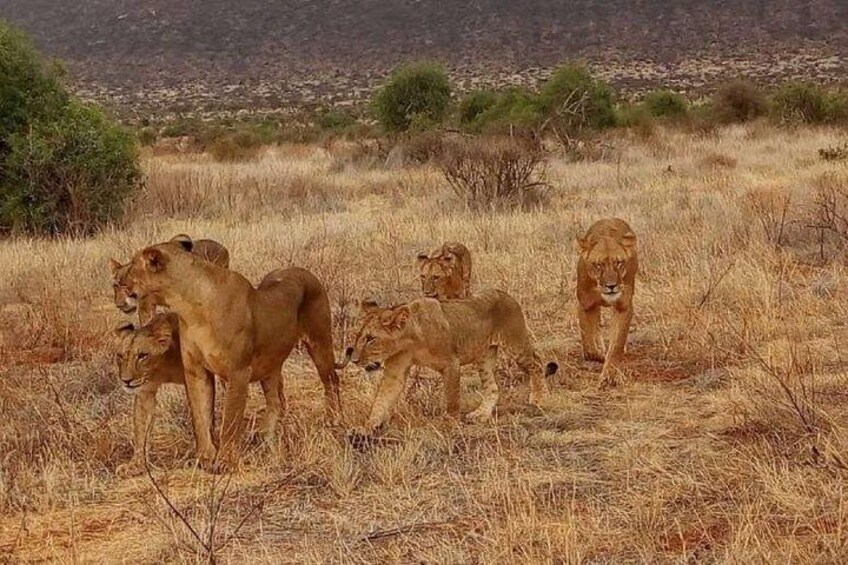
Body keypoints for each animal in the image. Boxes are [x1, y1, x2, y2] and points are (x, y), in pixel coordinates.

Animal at [119, 236, 342, 472]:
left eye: (132, 263)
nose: (119, 279)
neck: (190, 309)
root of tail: (305, 271)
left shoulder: (238, 372)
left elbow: (230, 420)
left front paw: (225, 461)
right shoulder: (196, 372)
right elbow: (201, 418)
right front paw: (205, 458)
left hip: (319, 342)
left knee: (331, 380)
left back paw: (334, 420)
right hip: (271, 365)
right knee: (276, 402)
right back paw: (266, 436)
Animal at [339, 289, 558, 440]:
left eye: (370, 339)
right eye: (359, 336)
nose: (355, 360)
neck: (411, 339)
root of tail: (507, 295)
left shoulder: (451, 364)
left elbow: (452, 398)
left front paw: (449, 424)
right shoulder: (396, 369)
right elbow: (381, 400)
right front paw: (365, 428)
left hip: (515, 345)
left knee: (537, 363)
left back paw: (541, 397)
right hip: (484, 357)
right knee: (493, 387)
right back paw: (480, 414)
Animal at [576, 218, 638, 386]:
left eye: (619, 263)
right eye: (598, 264)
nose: (611, 286)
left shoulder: (623, 306)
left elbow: (616, 344)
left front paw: (611, 375)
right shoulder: (586, 304)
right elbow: (589, 344)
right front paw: (599, 355)